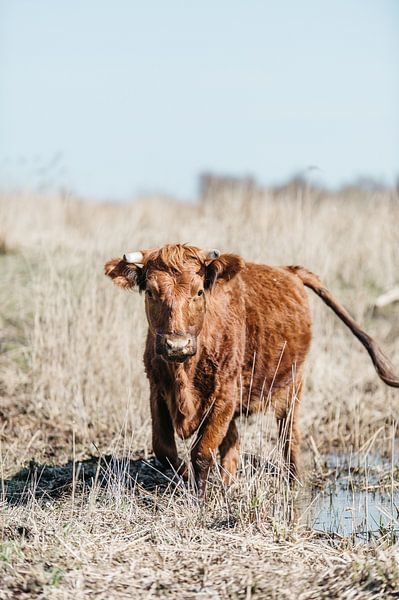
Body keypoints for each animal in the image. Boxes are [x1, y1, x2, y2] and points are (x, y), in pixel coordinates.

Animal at [104, 244, 398, 496]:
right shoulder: (157, 390)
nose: (177, 344)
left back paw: (292, 483)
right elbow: (164, 448)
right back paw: (227, 485)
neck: (183, 374)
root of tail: (289, 271)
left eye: (198, 292)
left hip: (293, 384)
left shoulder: (224, 394)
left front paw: (199, 497)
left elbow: (202, 452)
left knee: (288, 438)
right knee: (233, 444)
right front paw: (186, 478)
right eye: (151, 292)